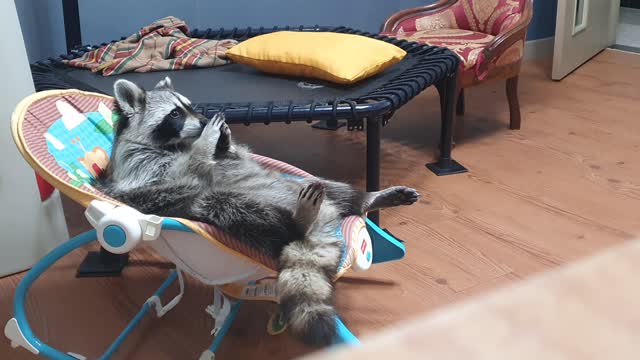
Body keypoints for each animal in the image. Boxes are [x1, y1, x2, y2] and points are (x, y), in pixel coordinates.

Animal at [97, 76, 420, 346]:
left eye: (190, 106)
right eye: (175, 114)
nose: (203, 122)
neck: (175, 143)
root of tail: (322, 224)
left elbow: (235, 155)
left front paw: (223, 140)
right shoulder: (140, 170)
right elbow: (185, 171)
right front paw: (206, 143)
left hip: (304, 184)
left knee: (333, 188)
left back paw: (366, 199)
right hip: (217, 204)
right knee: (230, 205)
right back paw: (297, 222)